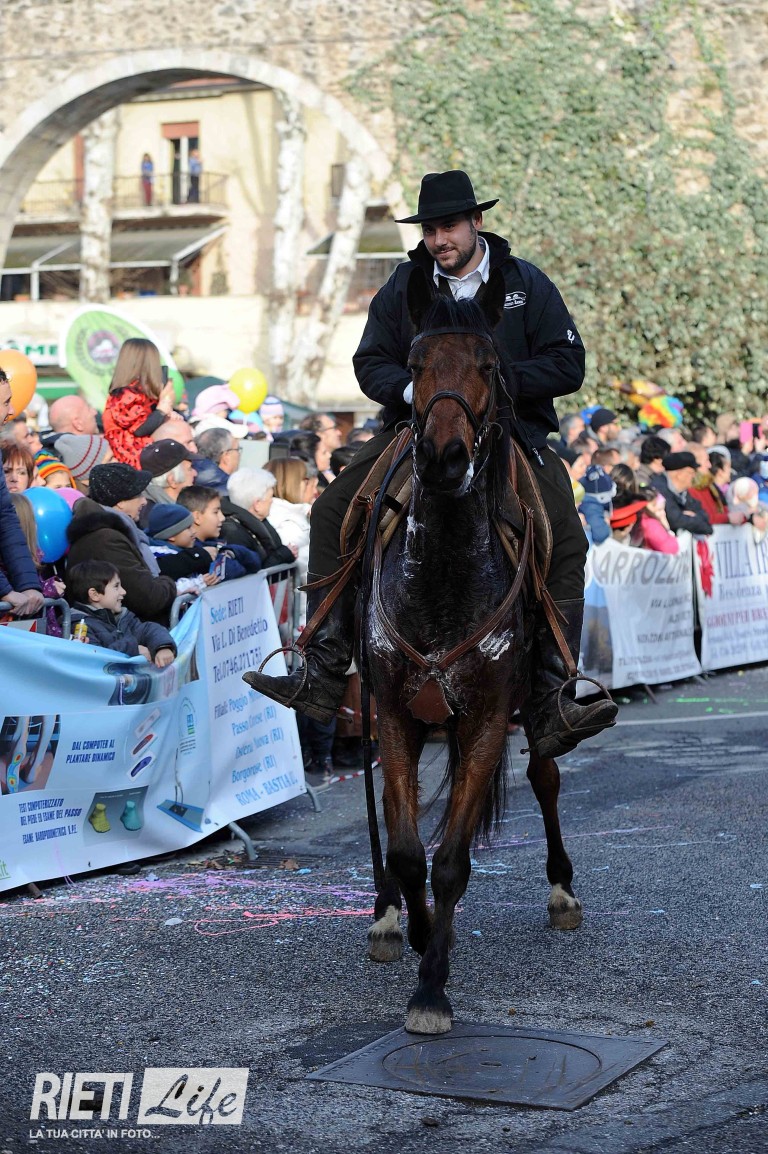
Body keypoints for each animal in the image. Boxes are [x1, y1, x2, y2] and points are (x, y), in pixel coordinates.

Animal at [363, 265, 583, 1035]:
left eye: (489, 365)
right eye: (416, 366)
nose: (443, 456)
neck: (443, 579)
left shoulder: (488, 719)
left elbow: (452, 861)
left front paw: (432, 988)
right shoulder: (394, 715)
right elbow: (407, 853)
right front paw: (421, 932)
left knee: (546, 775)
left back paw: (562, 892)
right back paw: (387, 916)